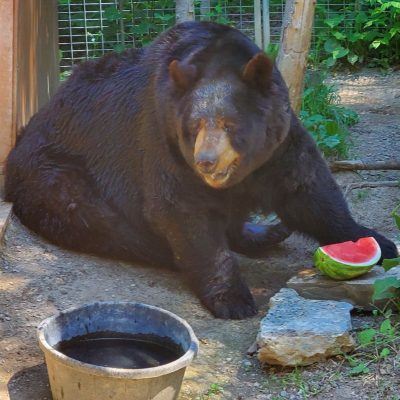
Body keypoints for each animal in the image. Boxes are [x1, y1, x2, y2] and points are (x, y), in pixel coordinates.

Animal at [4, 21, 398, 318]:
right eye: (194, 126)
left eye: (229, 123)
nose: (206, 160)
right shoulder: (162, 142)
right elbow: (182, 210)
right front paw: (232, 298)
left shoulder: (278, 146)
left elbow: (309, 189)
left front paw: (375, 240)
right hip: (57, 172)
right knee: (96, 216)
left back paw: (267, 233)